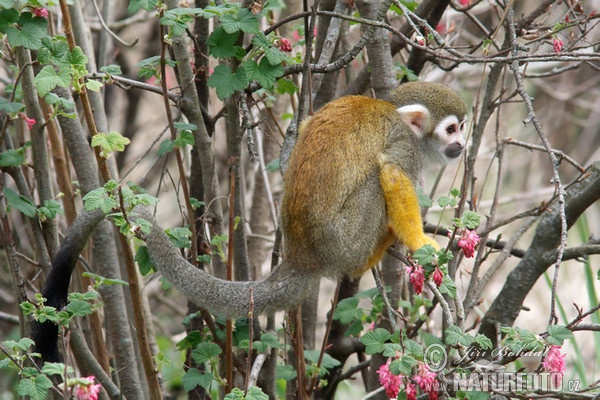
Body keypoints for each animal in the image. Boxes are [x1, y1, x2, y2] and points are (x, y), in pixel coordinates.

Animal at [32, 80, 468, 360]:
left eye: (462, 128)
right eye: (451, 128)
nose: (463, 145)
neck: (395, 113)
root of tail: (303, 256)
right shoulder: (405, 147)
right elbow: (392, 173)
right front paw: (419, 242)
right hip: (347, 238)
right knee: (375, 187)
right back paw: (374, 252)